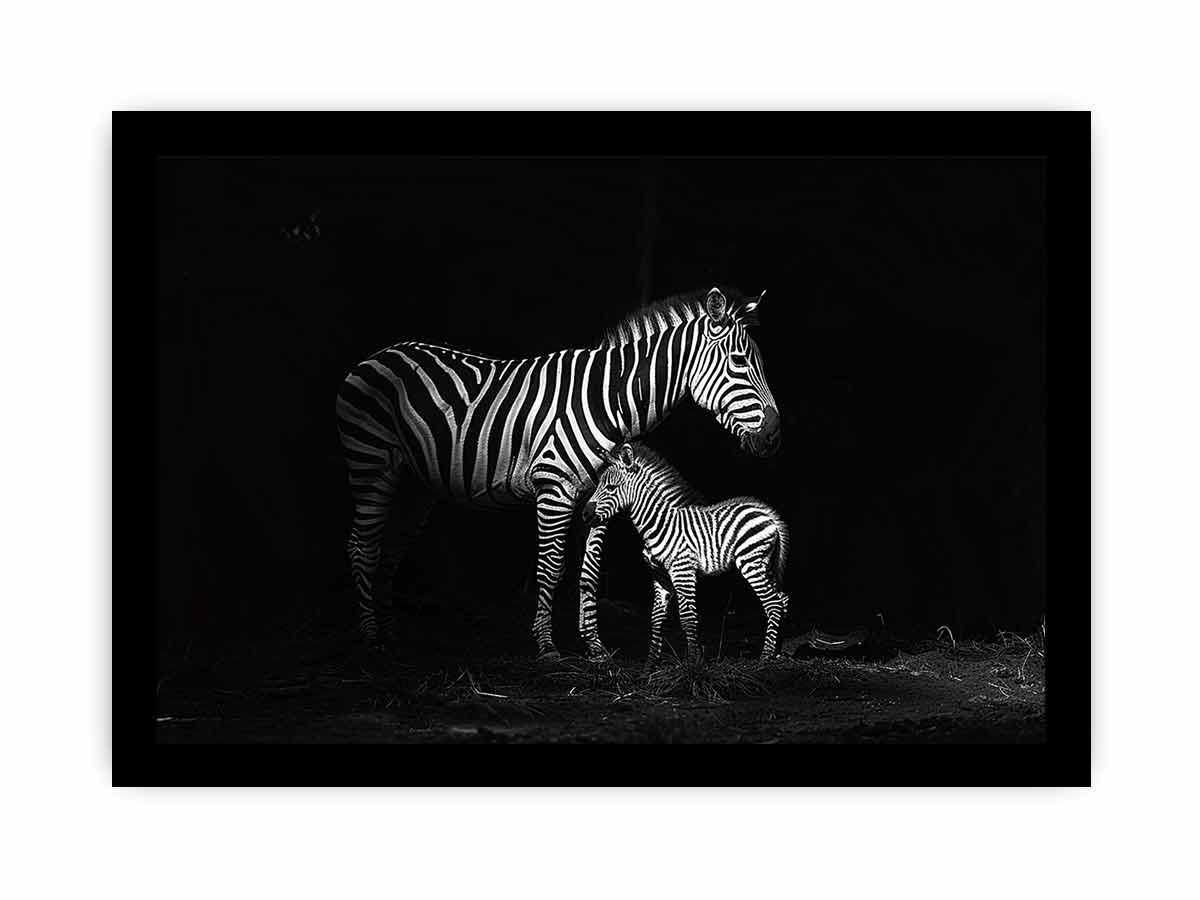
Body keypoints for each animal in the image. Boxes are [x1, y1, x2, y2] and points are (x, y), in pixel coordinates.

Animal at [582, 442, 791, 665]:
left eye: (611, 488)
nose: (584, 514)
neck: (658, 524)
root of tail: (768, 514)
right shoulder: (660, 575)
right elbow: (656, 618)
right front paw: (650, 664)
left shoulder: (682, 570)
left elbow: (688, 617)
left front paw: (692, 663)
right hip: (765, 564)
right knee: (782, 599)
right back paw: (777, 650)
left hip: (751, 561)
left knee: (773, 603)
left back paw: (765, 657)